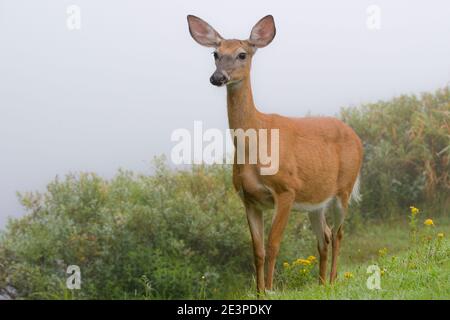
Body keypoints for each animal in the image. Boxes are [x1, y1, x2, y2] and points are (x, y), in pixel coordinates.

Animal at [188, 14, 364, 296]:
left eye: (241, 54)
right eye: (215, 53)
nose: (217, 77)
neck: (255, 143)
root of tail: (356, 136)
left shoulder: (286, 189)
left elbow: (272, 246)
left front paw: (270, 290)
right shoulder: (248, 198)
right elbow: (257, 250)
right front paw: (259, 291)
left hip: (344, 188)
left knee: (338, 234)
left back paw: (334, 280)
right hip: (316, 200)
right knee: (324, 236)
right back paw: (321, 282)